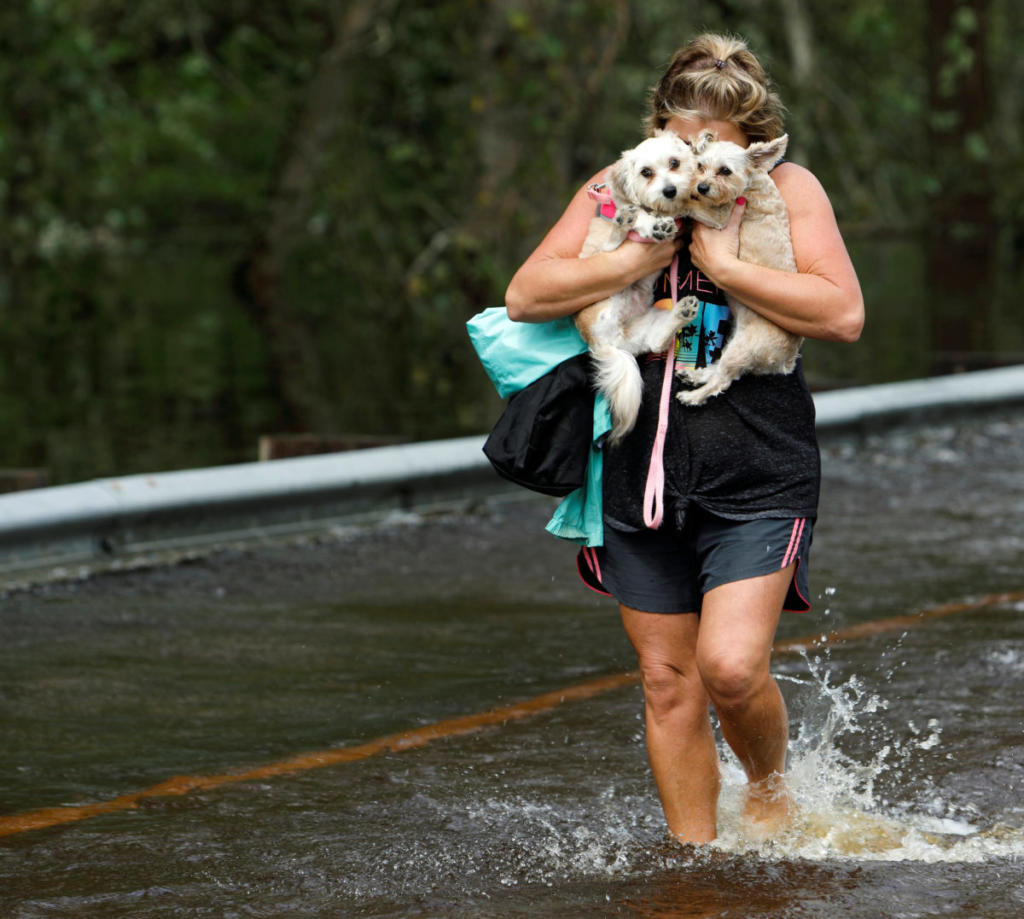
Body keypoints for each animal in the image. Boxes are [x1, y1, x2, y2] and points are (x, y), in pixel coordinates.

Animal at [573, 131, 700, 442]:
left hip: (649, 325)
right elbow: (642, 218)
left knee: (657, 340)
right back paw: (626, 221)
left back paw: (683, 311)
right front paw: (654, 225)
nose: (670, 190)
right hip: (602, 265)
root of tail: (604, 342)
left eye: (675, 163)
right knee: (614, 240)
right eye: (646, 172)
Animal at [675, 129, 802, 405]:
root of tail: (787, 359)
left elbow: (691, 205)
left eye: (725, 171)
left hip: (743, 348)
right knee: (718, 369)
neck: (751, 183)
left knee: (722, 380)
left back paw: (693, 396)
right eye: (700, 166)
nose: (701, 187)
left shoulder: (719, 218)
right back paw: (695, 375)